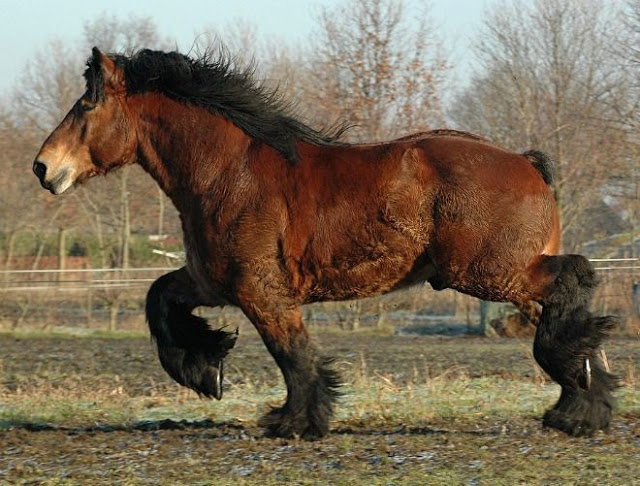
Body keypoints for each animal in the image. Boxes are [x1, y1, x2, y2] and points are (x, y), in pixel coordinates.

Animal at [32, 47, 617, 439]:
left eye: (86, 106)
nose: (43, 167)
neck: (229, 173)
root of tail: (529, 164)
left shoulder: (261, 292)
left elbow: (293, 355)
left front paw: (293, 421)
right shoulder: (209, 281)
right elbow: (159, 299)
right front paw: (205, 371)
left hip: (488, 272)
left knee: (576, 279)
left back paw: (574, 407)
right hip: (508, 275)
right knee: (576, 317)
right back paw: (584, 406)